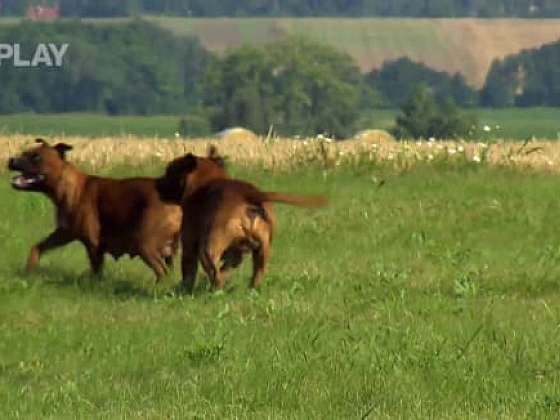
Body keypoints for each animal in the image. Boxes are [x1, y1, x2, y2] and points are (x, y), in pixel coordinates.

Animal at [7, 139, 182, 282]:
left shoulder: (93, 243)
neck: (67, 186)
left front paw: (94, 285)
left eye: (36, 157)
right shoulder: (64, 233)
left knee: (162, 272)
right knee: (168, 271)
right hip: (168, 250)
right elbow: (38, 247)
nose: (11, 160)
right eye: (24, 153)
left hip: (145, 244)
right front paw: (29, 269)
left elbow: (96, 269)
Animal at [155, 147, 326, 292]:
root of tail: (250, 196)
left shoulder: (190, 243)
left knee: (213, 272)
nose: (157, 182)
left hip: (209, 247)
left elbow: (189, 272)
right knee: (255, 272)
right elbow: (227, 266)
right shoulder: (237, 252)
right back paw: (250, 289)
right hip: (263, 250)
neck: (205, 181)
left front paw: (183, 289)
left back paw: (215, 290)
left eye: (169, 171)